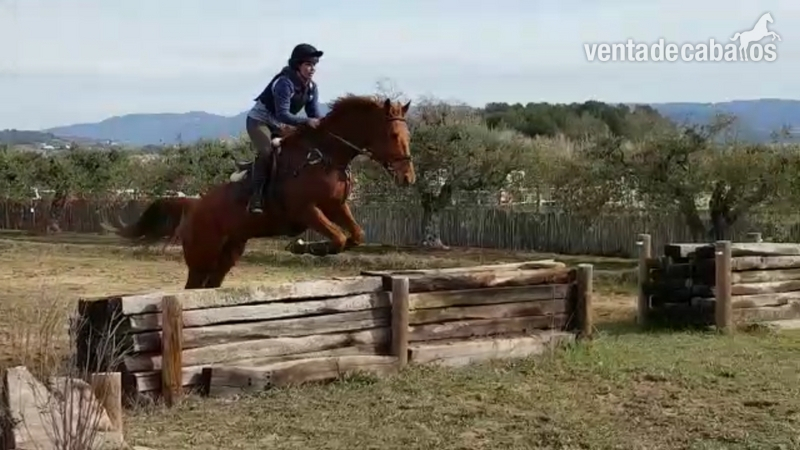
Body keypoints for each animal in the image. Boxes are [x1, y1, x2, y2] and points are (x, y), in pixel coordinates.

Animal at [109, 94, 416, 289]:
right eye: (392, 135)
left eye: (409, 136)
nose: (408, 177)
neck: (325, 155)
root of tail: (193, 206)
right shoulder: (305, 210)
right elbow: (339, 238)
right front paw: (301, 246)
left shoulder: (336, 206)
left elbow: (355, 236)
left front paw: (309, 246)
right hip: (201, 256)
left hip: (228, 254)